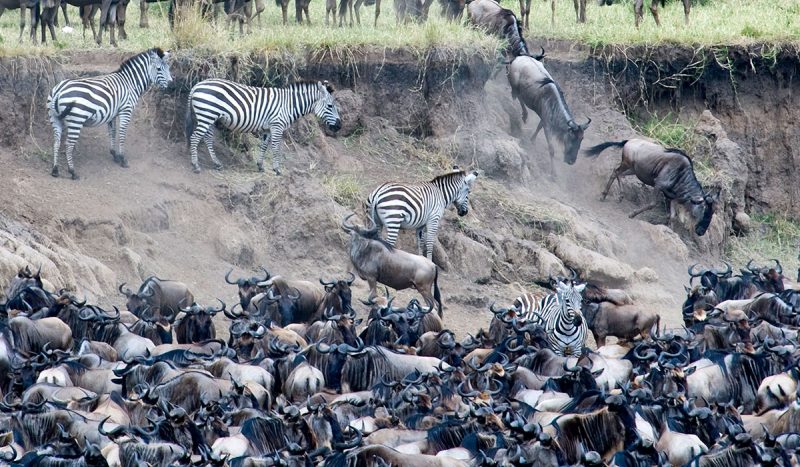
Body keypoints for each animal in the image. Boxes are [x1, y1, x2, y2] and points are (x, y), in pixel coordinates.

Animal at [47, 47, 172, 180]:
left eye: (168, 68)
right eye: (158, 69)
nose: (172, 86)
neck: (130, 83)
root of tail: (58, 90)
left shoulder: (112, 113)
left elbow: (113, 132)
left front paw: (114, 154)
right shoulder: (126, 110)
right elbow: (122, 133)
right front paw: (122, 158)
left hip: (55, 118)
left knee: (56, 142)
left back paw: (55, 170)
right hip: (77, 119)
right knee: (68, 144)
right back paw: (72, 172)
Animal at [184, 78, 342, 175]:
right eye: (330, 106)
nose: (339, 126)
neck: (289, 105)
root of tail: (197, 85)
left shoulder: (268, 128)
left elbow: (264, 146)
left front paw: (260, 166)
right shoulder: (277, 125)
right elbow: (276, 148)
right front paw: (277, 169)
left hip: (209, 117)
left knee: (207, 138)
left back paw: (216, 163)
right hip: (207, 115)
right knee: (195, 137)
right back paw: (195, 165)